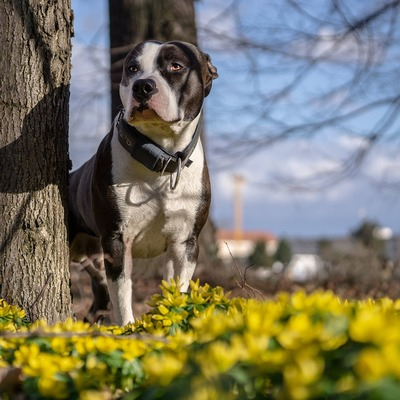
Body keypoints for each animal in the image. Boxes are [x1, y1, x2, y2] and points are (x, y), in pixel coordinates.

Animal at [69, 40, 219, 324]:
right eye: (132, 68)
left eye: (176, 66)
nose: (143, 86)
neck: (160, 157)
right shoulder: (117, 240)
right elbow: (123, 294)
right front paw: (128, 328)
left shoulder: (185, 242)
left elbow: (178, 287)